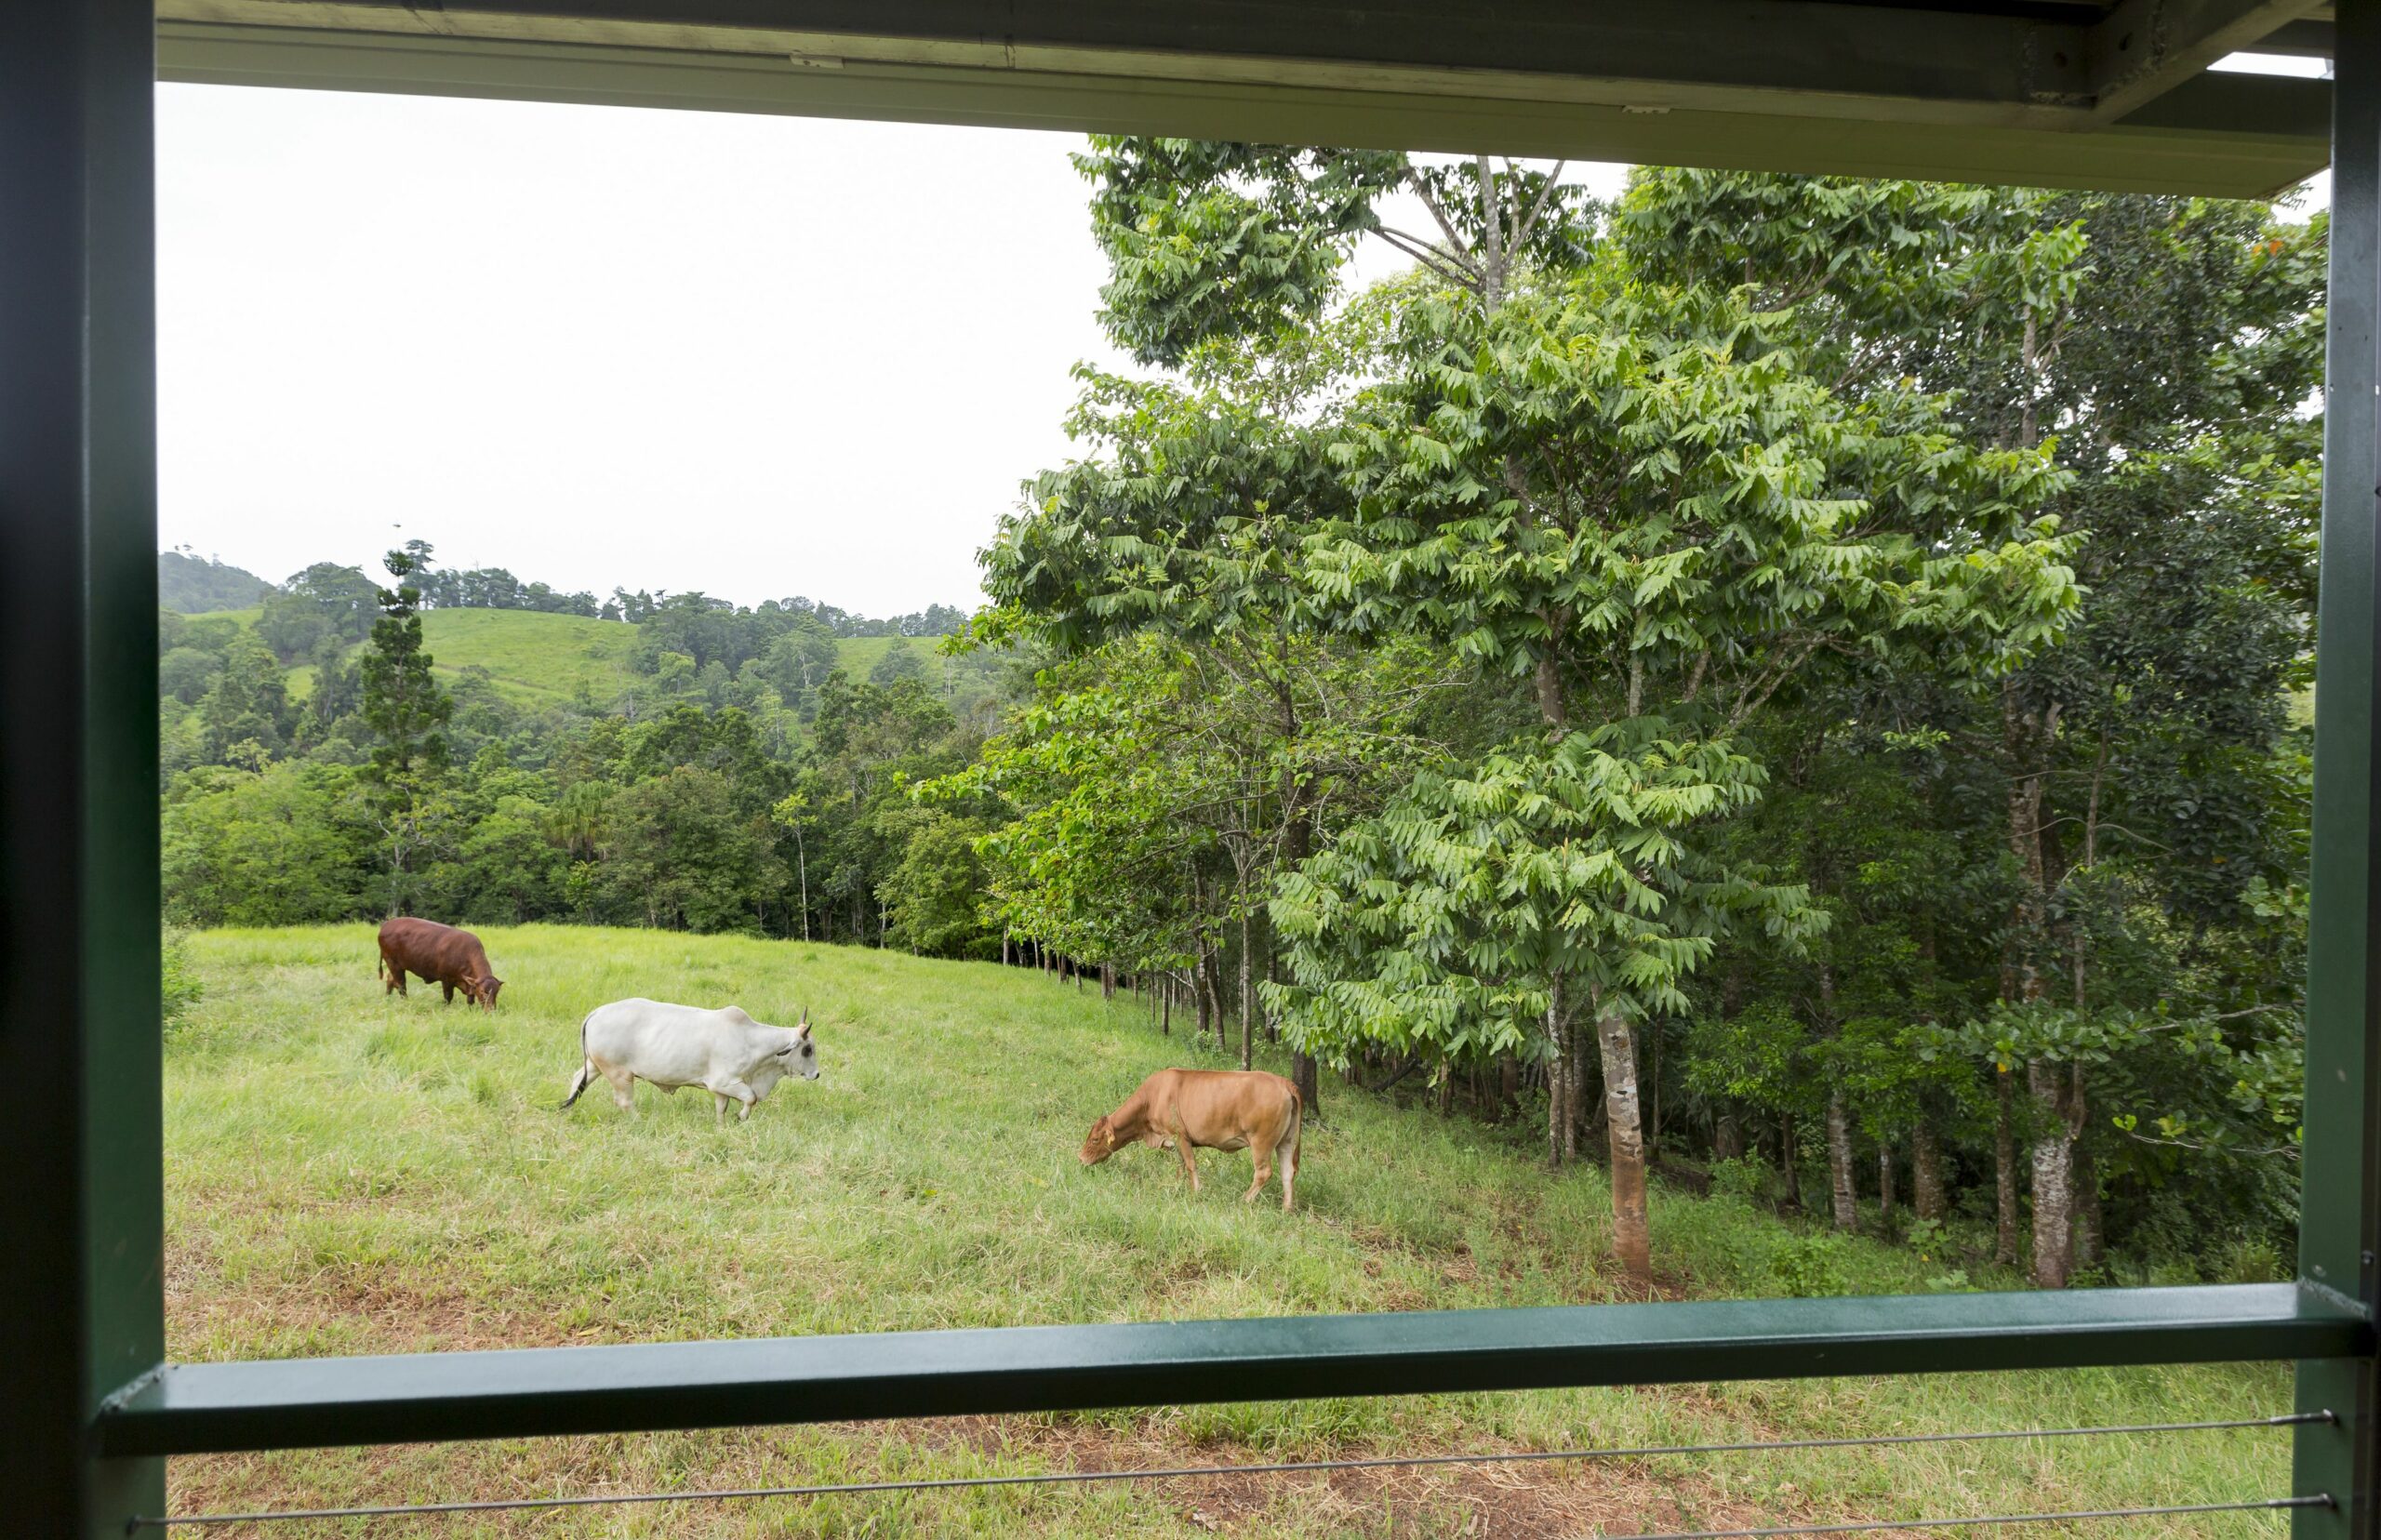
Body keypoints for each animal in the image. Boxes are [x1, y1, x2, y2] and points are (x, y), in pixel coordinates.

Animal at [376, 913, 502, 1014]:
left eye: (496, 992)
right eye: (483, 992)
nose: (491, 1011)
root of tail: (386, 924)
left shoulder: (470, 984)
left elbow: (470, 1000)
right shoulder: (446, 980)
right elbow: (448, 998)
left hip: (396, 966)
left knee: (390, 980)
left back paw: (387, 999)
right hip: (393, 963)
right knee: (401, 986)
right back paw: (406, 1002)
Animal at [562, 994, 823, 1128]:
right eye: (807, 1050)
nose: (817, 1074)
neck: (752, 1041)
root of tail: (597, 1012)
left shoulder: (721, 1089)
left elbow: (721, 1108)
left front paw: (722, 1127)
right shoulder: (725, 1082)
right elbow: (752, 1098)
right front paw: (740, 1118)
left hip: (595, 1066)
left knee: (577, 1079)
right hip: (619, 1073)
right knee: (624, 1102)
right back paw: (639, 1121)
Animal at [1081, 1066, 1304, 1209]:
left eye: (1094, 1139)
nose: (1081, 1158)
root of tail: (1283, 1082)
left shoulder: (1180, 1135)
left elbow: (1189, 1164)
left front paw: (1196, 1192)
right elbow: (1180, 1165)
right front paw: (1177, 1186)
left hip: (1261, 1142)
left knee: (1263, 1172)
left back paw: (1244, 1201)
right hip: (1285, 1141)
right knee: (1287, 1172)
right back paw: (1287, 1208)